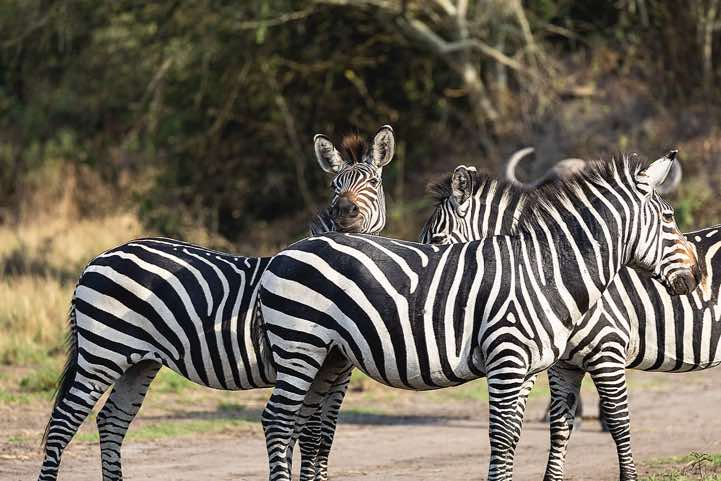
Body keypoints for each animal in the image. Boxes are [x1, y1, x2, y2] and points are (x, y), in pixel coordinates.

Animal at [37, 125, 395, 481]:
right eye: (334, 186)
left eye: (374, 183)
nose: (344, 212)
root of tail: (98, 257)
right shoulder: (312, 364)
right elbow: (308, 435)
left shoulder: (339, 373)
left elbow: (325, 436)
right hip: (102, 352)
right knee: (63, 422)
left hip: (140, 361)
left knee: (111, 419)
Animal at [257, 152, 700, 481]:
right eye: (669, 219)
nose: (697, 276)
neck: (545, 271)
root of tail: (288, 249)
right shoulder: (509, 359)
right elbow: (503, 438)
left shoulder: (531, 368)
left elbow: (517, 436)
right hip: (299, 345)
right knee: (278, 420)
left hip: (328, 356)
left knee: (304, 424)